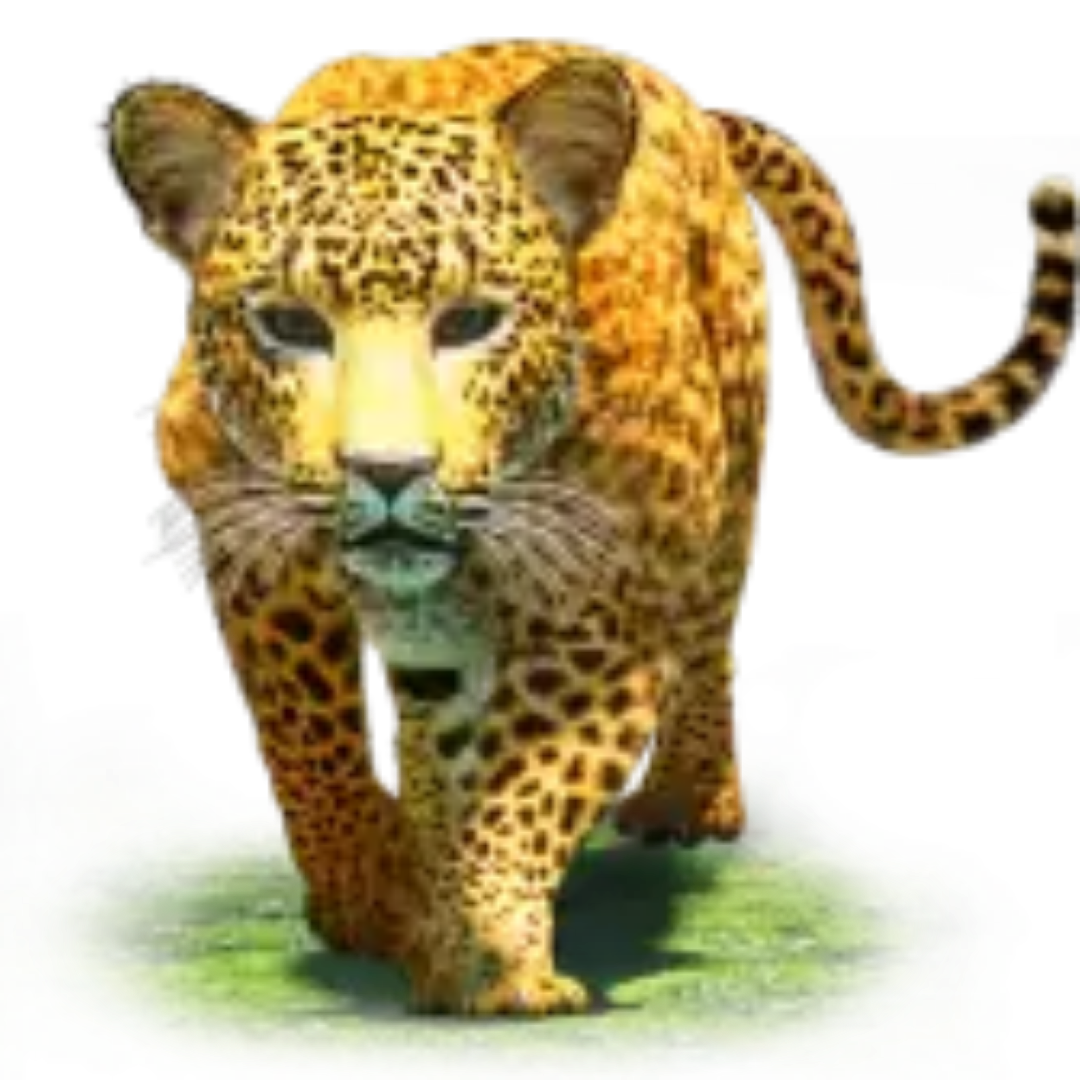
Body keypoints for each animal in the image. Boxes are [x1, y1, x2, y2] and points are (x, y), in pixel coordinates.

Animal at [101, 36, 1078, 1019]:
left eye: (472, 321)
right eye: (290, 325)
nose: (388, 471)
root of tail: (690, 102)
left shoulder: (608, 613)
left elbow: (518, 790)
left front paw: (489, 954)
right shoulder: (238, 532)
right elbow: (319, 753)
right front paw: (388, 909)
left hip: (731, 457)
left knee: (712, 621)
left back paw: (691, 797)